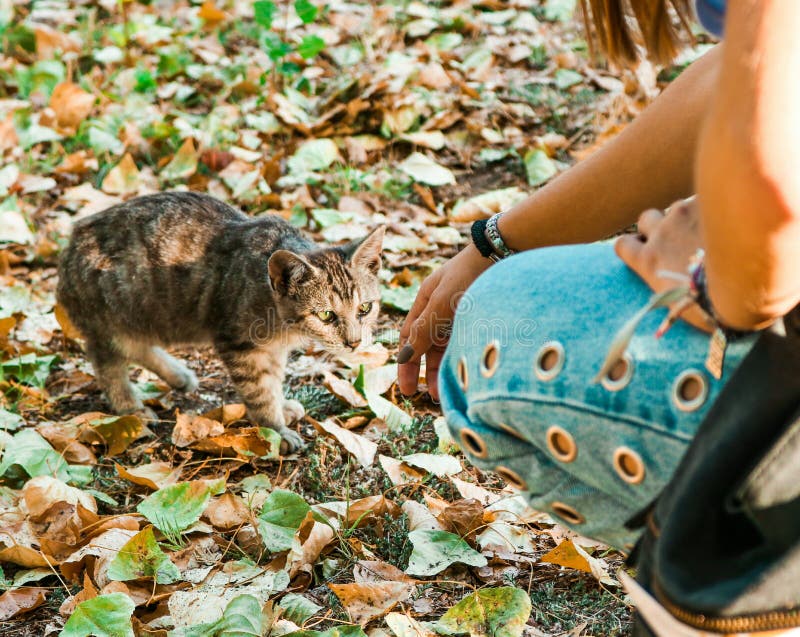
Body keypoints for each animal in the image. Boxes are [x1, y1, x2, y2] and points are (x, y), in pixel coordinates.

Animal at [57, 191, 384, 450]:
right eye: (326, 315)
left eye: (365, 309)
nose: (354, 343)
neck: (282, 325)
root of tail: (72, 240)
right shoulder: (240, 345)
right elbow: (260, 391)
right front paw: (275, 428)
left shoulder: (271, 350)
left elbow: (274, 381)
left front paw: (281, 407)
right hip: (115, 314)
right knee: (106, 359)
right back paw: (130, 409)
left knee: (137, 348)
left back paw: (177, 374)